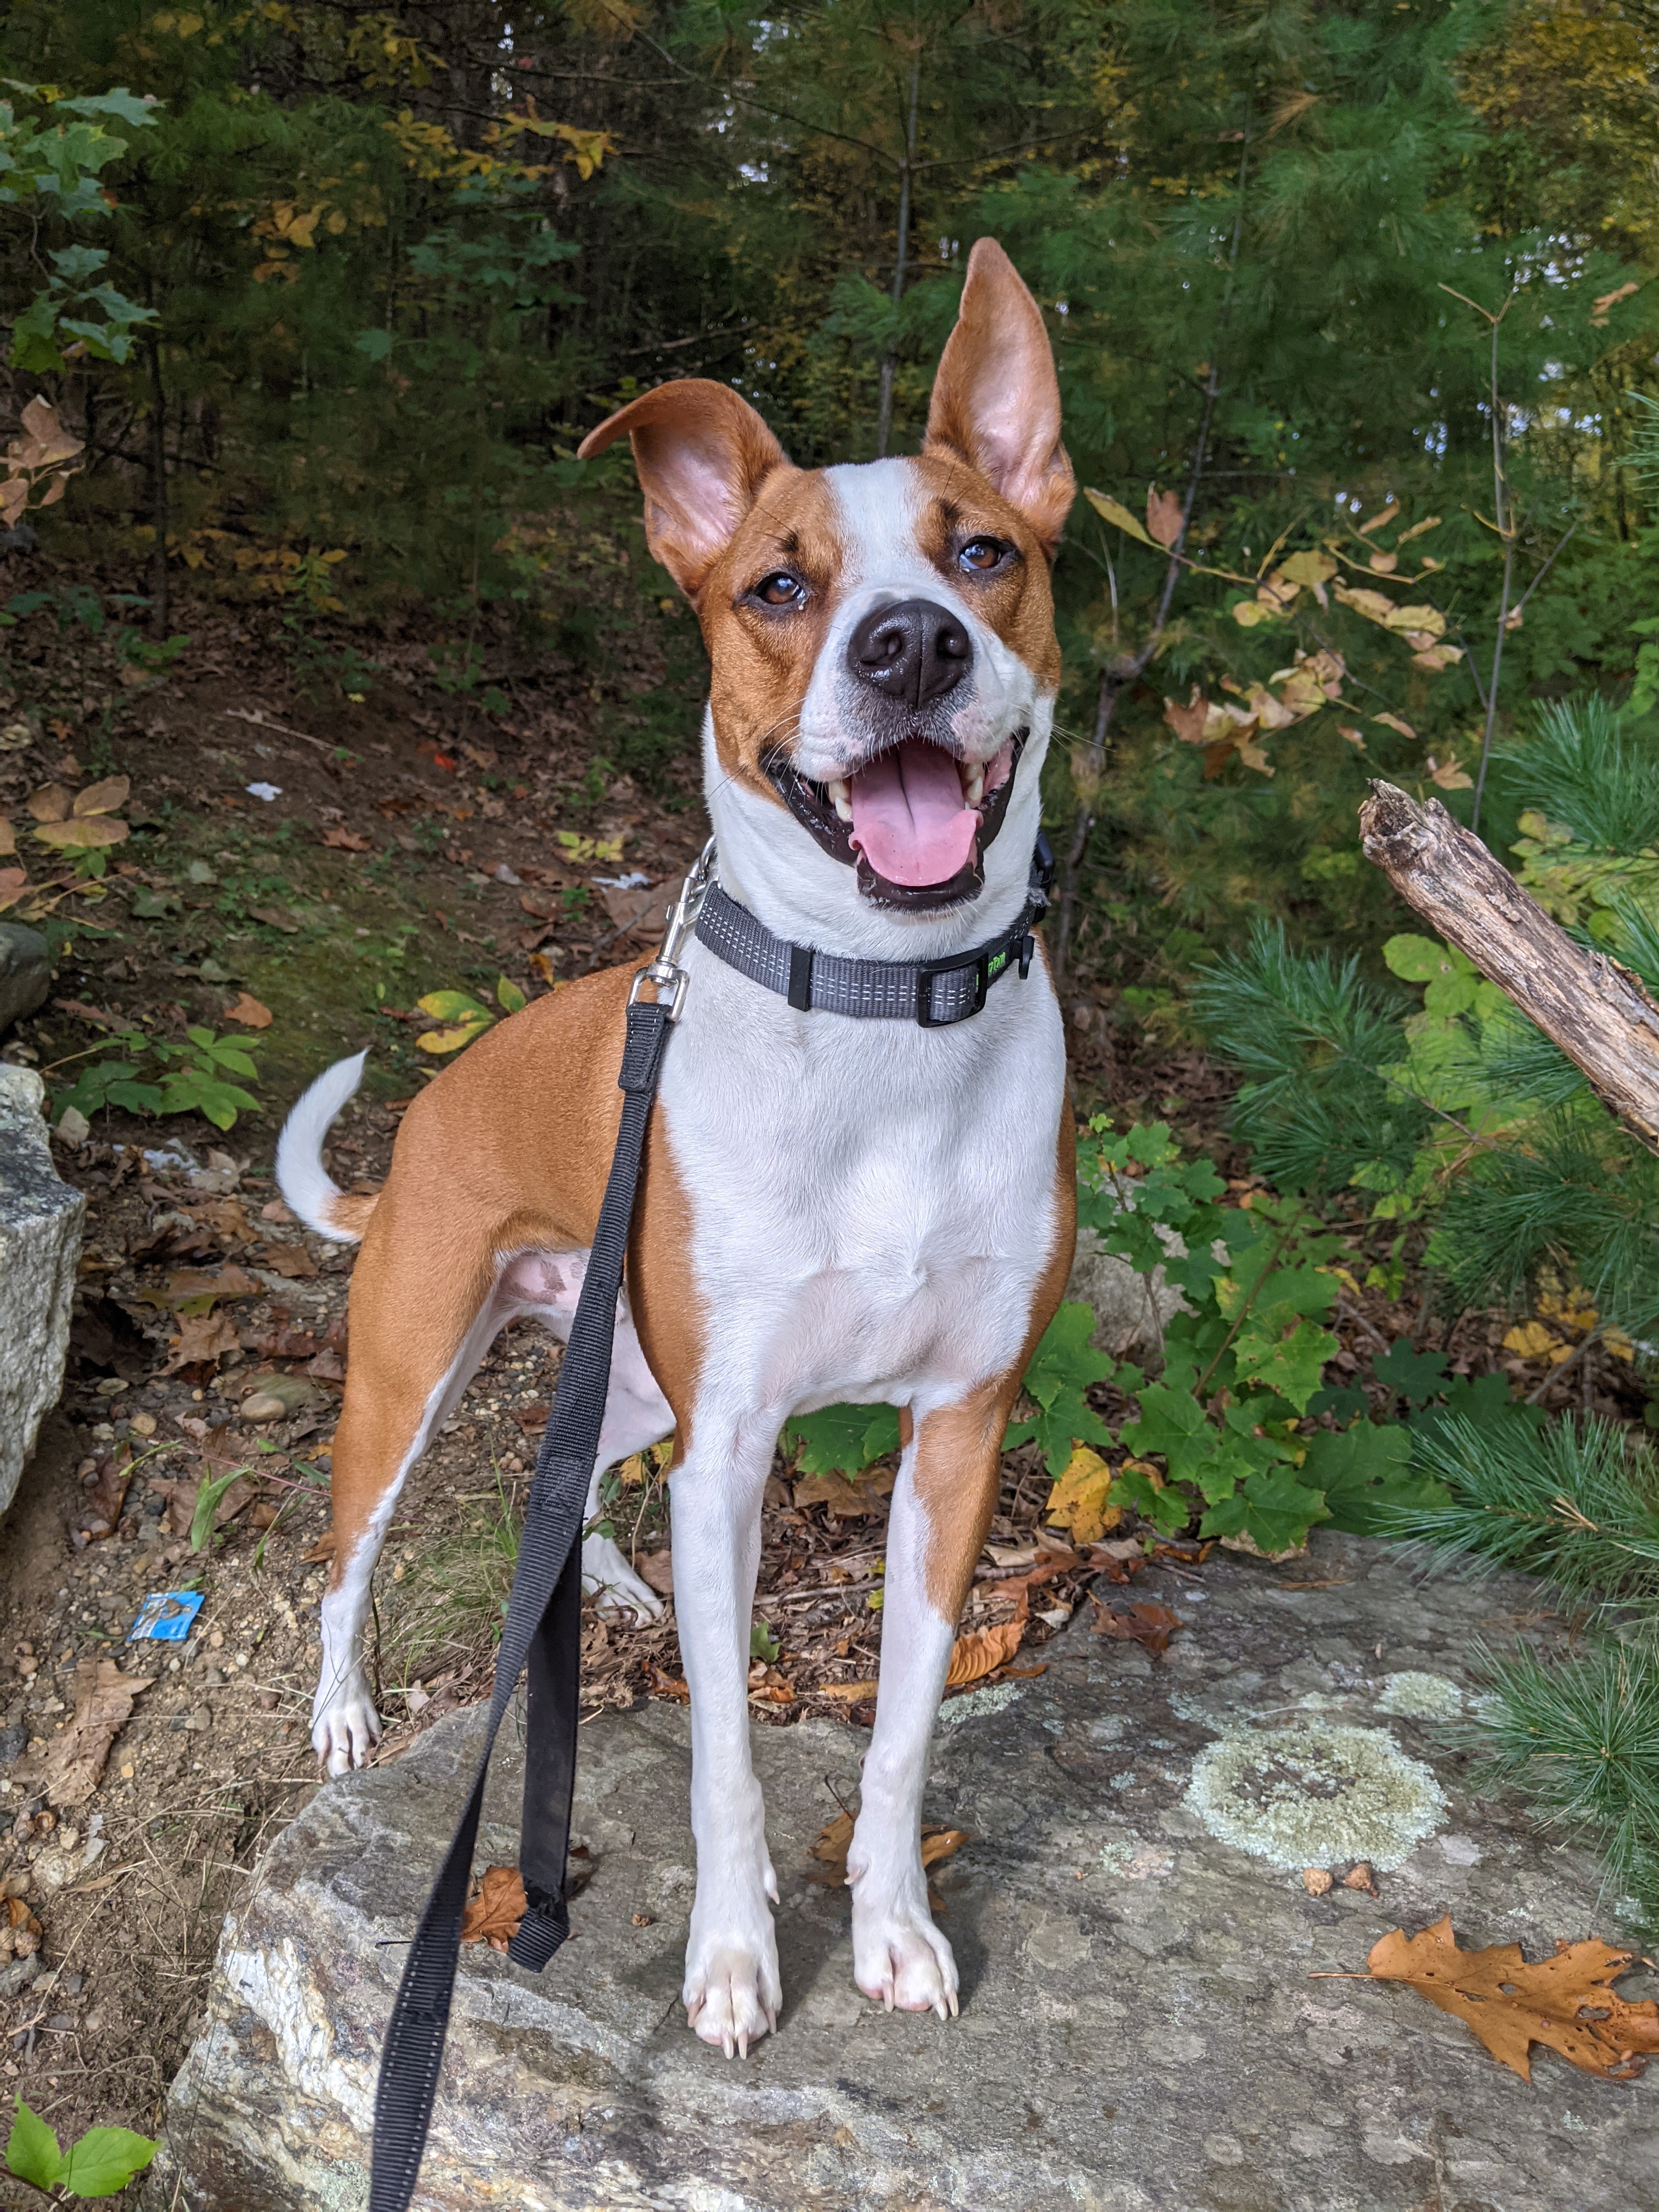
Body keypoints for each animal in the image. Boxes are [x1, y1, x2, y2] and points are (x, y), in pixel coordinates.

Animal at [273, 242, 1079, 2052]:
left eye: (983, 554)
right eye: (780, 587)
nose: (912, 644)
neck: (885, 1016)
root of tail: (429, 1109)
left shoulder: (959, 1439)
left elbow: (902, 1734)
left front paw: (893, 1928)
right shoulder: (737, 1453)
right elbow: (723, 1760)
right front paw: (731, 1955)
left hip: (636, 1375)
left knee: (567, 1484)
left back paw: (614, 1594)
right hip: (415, 1374)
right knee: (351, 1553)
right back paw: (347, 1707)